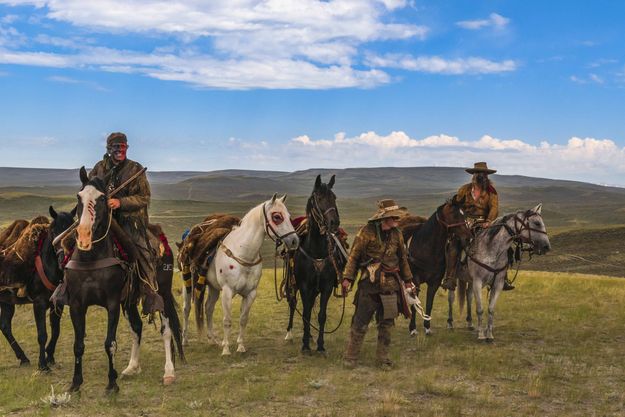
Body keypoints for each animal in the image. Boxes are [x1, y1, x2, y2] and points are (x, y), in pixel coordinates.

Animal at [0, 205, 75, 370]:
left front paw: (50, 356)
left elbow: (56, 331)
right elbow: (42, 334)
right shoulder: (39, 304)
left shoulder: (57, 303)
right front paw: (43, 365)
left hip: (7, 302)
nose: (63, 259)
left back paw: (23, 358)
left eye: (73, 230)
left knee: (5, 326)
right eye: (53, 231)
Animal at [182, 193, 298, 352]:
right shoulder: (227, 291)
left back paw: (212, 340)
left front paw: (240, 346)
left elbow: (243, 319)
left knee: (208, 308)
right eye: (277, 216)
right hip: (188, 283)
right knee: (186, 309)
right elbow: (227, 320)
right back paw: (184, 340)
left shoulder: (250, 293)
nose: (294, 241)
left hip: (212, 287)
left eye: (289, 216)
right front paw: (226, 349)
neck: (243, 253)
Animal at [286, 174, 344, 352]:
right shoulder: (305, 285)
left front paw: (320, 345)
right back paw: (289, 333)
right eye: (319, 198)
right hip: (295, 284)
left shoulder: (325, 287)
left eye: (334, 197)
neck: (317, 250)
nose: (334, 222)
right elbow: (305, 314)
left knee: (310, 306)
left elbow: (321, 315)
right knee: (293, 304)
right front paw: (305, 345)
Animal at [402, 197, 470, 336]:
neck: (427, 247)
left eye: (465, 214)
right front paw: (413, 328)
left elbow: (429, 303)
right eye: (454, 215)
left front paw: (427, 327)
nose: (469, 237)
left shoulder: (435, 282)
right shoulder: (415, 280)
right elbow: (414, 304)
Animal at [466, 202, 548, 342]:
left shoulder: (497, 284)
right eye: (537, 223)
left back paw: (471, 324)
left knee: (468, 295)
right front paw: (481, 335)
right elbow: (480, 309)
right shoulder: (477, 281)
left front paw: (489, 334)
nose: (547, 246)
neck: (492, 250)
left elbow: (491, 309)